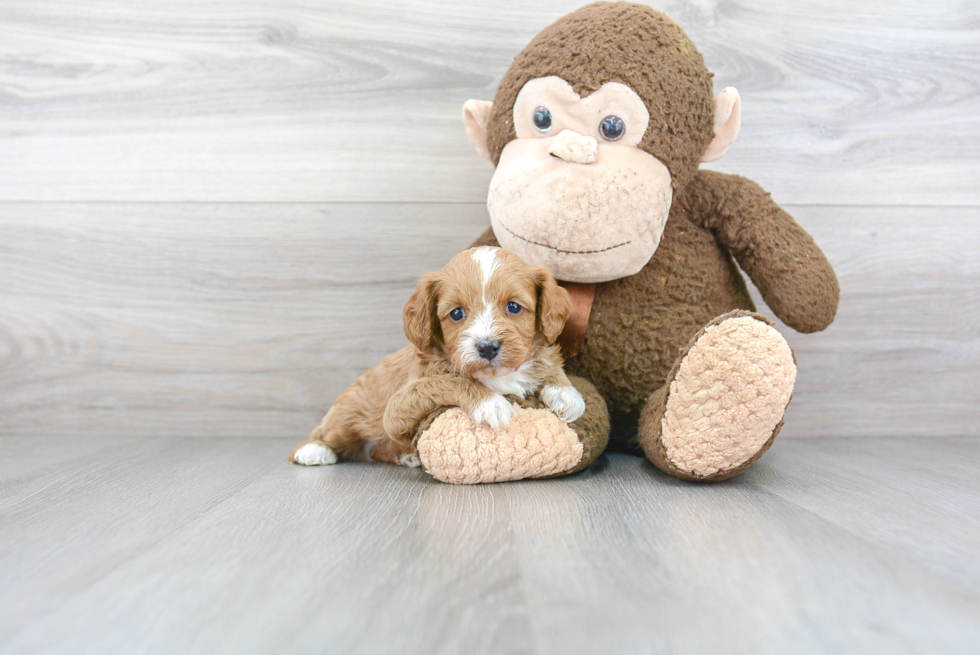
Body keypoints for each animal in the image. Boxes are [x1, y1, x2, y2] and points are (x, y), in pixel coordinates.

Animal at [290, 245, 580, 466]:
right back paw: (313, 450)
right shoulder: (399, 405)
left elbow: (549, 363)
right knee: (328, 432)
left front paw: (566, 393)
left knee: (378, 450)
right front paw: (491, 403)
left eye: (514, 307)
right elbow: (450, 380)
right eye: (456, 313)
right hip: (348, 414)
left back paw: (407, 457)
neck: (495, 376)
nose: (487, 347)